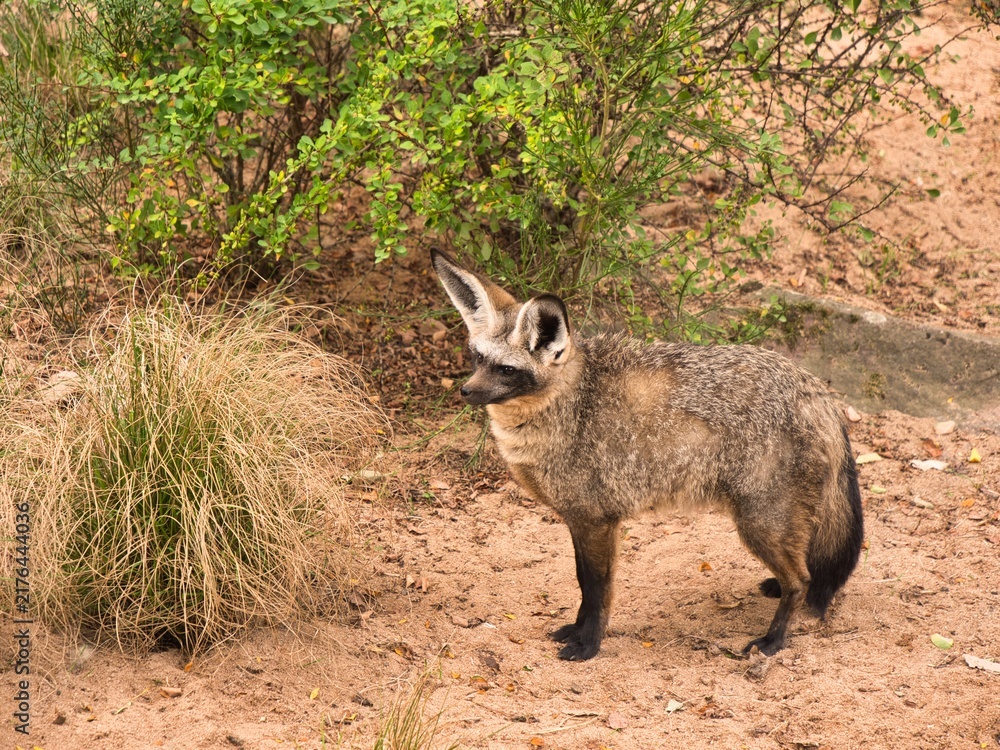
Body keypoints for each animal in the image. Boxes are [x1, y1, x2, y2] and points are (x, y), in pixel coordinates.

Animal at [430, 248, 864, 660]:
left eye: (507, 370)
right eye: (478, 358)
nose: (466, 391)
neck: (572, 406)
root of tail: (818, 392)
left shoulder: (598, 521)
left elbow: (597, 590)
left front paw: (588, 646)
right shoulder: (578, 520)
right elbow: (582, 584)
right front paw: (576, 631)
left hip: (758, 524)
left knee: (803, 581)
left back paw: (773, 641)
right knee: (805, 570)